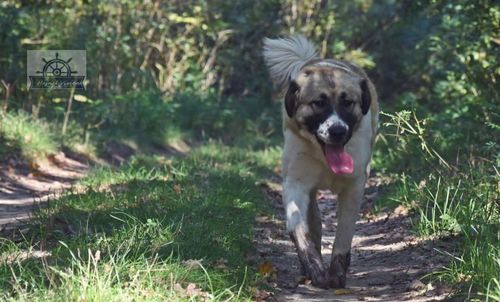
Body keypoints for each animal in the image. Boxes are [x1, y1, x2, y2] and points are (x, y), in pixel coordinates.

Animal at [262, 35, 378, 288]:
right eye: (318, 103)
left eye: (348, 102)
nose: (337, 131)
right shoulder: (296, 183)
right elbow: (299, 228)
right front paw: (314, 267)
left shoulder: (354, 187)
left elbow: (344, 234)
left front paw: (337, 272)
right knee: (313, 222)